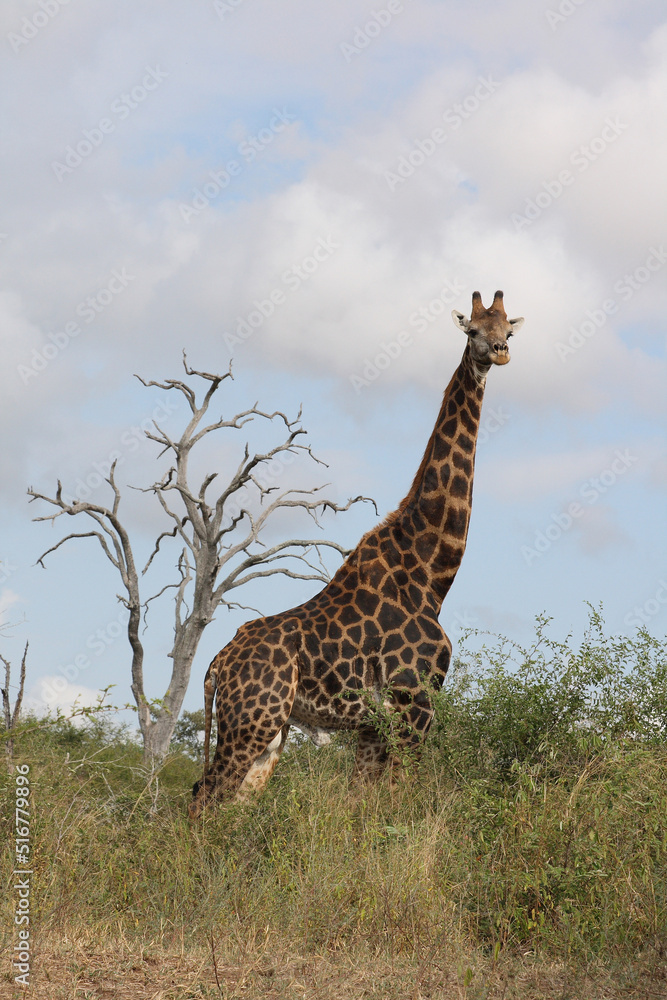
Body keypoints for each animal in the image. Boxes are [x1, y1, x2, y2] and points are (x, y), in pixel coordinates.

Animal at [189, 290, 524, 817]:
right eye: (472, 330)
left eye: (508, 330)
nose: (500, 352)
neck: (432, 575)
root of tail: (218, 663)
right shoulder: (414, 706)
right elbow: (399, 802)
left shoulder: (374, 724)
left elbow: (363, 807)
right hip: (252, 720)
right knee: (202, 799)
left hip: (269, 733)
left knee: (230, 806)